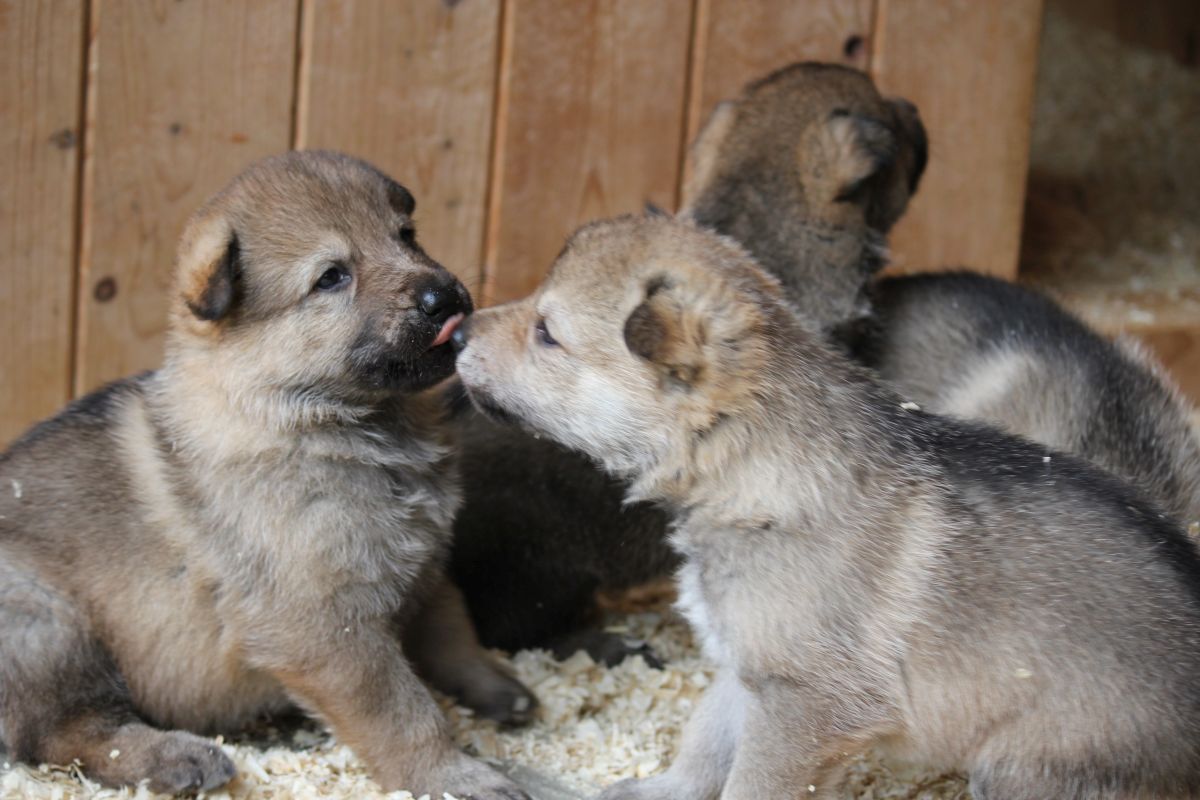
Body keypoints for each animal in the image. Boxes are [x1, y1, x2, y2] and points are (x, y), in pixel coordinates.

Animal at [0, 151, 535, 800]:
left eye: (406, 236)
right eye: (331, 277)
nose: (444, 295)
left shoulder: (424, 569)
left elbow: (454, 632)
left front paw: (498, 686)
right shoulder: (326, 627)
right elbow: (403, 713)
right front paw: (454, 774)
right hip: (47, 624)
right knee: (64, 733)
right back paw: (177, 757)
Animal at [453, 214, 1200, 800]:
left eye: (547, 333)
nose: (456, 330)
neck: (752, 465)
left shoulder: (804, 706)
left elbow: (748, 783)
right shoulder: (752, 668)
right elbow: (703, 744)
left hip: (1027, 769)